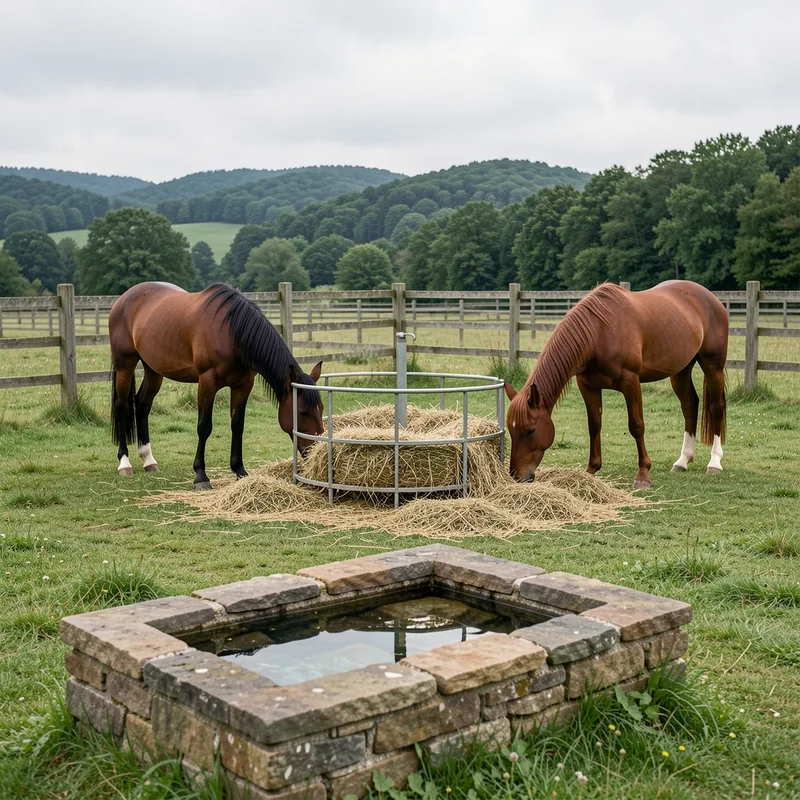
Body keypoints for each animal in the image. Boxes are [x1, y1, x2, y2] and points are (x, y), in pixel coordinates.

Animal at [108, 282, 324, 489]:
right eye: (303, 411)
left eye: (321, 409)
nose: (315, 452)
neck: (232, 333)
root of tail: (123, 299)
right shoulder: (207, 383)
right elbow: (204, 427)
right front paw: (200, 476)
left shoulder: (243, 385)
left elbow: (237, 425)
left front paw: (240, 471)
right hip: (125, 365)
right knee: (122, 407)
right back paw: (124, 463)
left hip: (153, 369)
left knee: (142, 404)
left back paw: (148, 460)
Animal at [504, 280, 728, 489]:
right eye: (510, 430)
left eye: (530, 430)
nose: (516, 476)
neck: (598, 332)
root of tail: (712, 298)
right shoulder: (588, 386)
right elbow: (594, 425)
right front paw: (591, 470)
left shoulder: (631, 382)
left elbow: (636, 425)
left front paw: (643, 475)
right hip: (680, 371)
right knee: (689, 405)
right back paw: (682, 461)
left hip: (712, 365)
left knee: (716, 407)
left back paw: (714, 463)